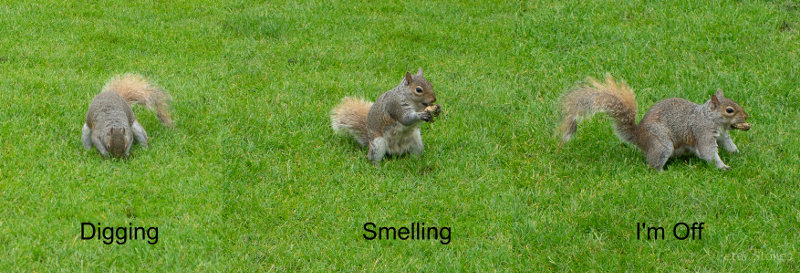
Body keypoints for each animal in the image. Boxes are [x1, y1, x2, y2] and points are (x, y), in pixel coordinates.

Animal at [556, 74, 752, 170]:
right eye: (729, 110)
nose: (746, 117)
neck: (710, 118)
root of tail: (639, 136)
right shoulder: (702, 132)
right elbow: (708, 152)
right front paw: (723, 166)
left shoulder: (722, 135)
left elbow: (728, 144)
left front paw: (737, 153)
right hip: (661, 143)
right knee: (652, 164)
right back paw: (662, 172)